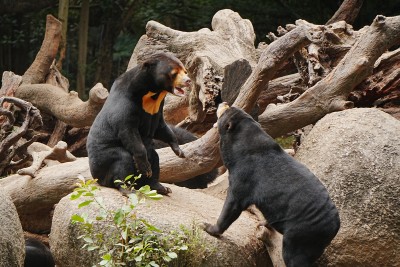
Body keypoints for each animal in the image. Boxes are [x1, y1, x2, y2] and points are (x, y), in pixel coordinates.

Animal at [85, 52, 191, 195]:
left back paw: (161, 187)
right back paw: (127, 189)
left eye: (185, 71)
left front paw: (180, 152)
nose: (188, 80)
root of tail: (96, 178)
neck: (151, 95)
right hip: (104, 159)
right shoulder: (125, 105)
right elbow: (129, 132)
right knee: (123, 161)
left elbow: (161, 128)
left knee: (155, 158)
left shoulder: (157, 109)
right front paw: (145, 167)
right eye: (174, 73)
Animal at [203, 103, 340, 267]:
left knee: (294, 257)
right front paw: (262, 223)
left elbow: (232, 205)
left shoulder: (243, 176)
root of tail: (335, 227)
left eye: (226, 111)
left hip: (300, 235)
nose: (223, 103)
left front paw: (209, 227)